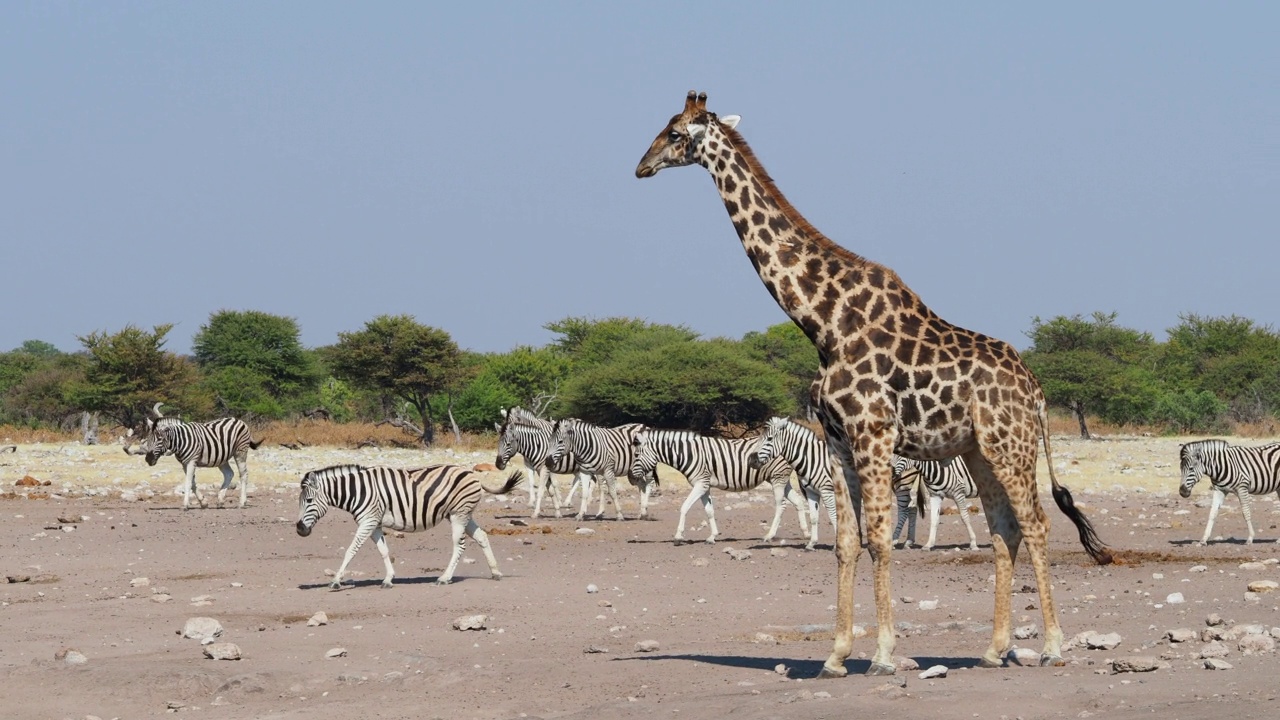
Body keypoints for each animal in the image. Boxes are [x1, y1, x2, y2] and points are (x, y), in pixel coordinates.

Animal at [126, 399, 263, 507]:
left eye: (160, 439)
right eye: (148, 439)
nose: (148, 459)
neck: (180, 441)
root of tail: (238, 420)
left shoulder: (192, 461)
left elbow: (187, 482)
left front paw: (186, 504)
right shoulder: (184, 463)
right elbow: (192, 482)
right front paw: (203, 502)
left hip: (240, 452)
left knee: (243, 474)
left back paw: (242, 502)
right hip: (221, 458)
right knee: (229, 474)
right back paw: (220, 500)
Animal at [296, 461, 522, 586]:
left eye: (309, 501)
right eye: (300, 502)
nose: (299, 529)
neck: (357, 491)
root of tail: (472, 473)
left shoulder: (368, 520)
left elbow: (351, 550)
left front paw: (335, 580)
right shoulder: (375, 523)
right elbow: (384, 551)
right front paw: (388, 579)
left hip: (459, 514)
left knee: (459, 545)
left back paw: (444, 578)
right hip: (461, 514)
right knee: (482, 536)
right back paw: (495, 572)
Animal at [632, 425, 803, 543]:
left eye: (636, 455)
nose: (632, 477)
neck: (687, 454)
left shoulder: (700, 483)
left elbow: (684, 507)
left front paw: (678, 536)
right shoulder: (705, 485)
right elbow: (709, 511)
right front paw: (712, 536)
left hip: (778, 478)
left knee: (781, 505)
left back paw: (769, 535)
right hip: (781, 478)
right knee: (798, 502)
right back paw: (806, 533)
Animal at [747, 412, 839, 545]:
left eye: (769, 439)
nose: (751, 460)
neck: (813, 459)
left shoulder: (828, 490)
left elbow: (833, 516)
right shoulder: (812, 491)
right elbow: (814, 517)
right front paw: (812, 543)